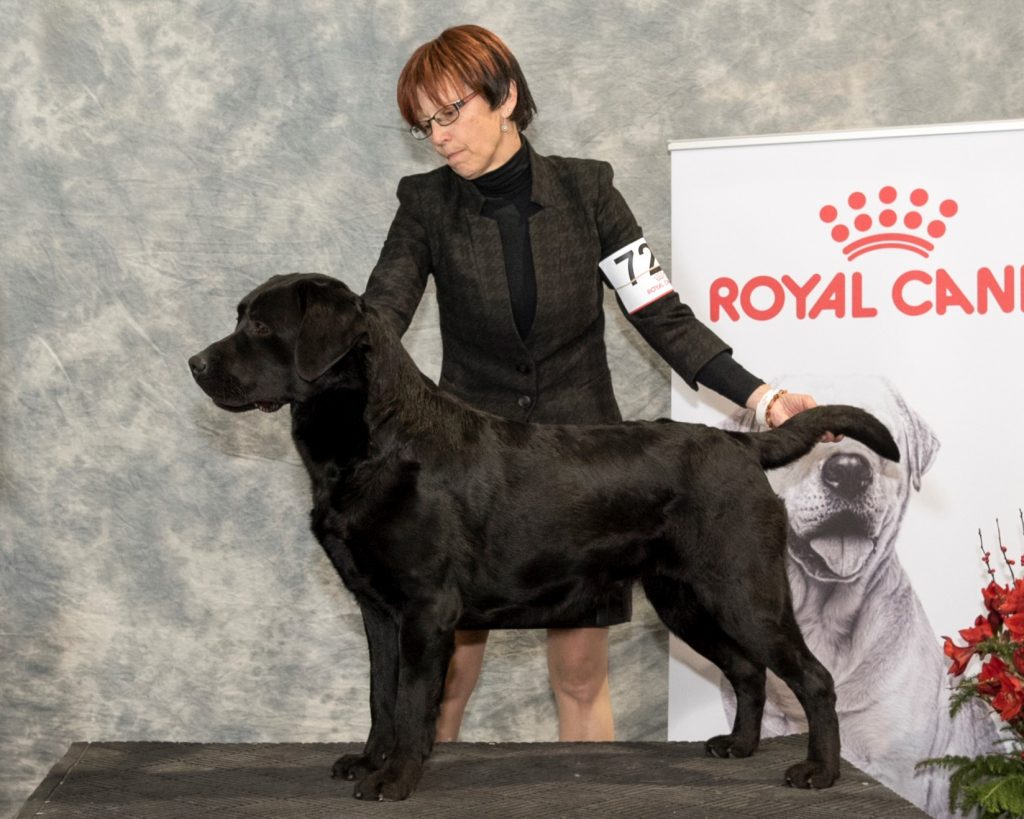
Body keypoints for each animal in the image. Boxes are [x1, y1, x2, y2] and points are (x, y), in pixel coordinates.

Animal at [188, 274, 901, 798]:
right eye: (240, 317)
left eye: (259, 326)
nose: (194, 363)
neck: (373, 442)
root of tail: (738, 443)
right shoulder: (378, 609)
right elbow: (380, 696)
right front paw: (369, 762)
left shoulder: (425, 608)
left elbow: (413, 701)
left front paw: (395, 779)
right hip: (686, 599)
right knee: (749, 670)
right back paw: (740, 746)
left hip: (743, 588)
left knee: (812, 677)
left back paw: (819, 772)